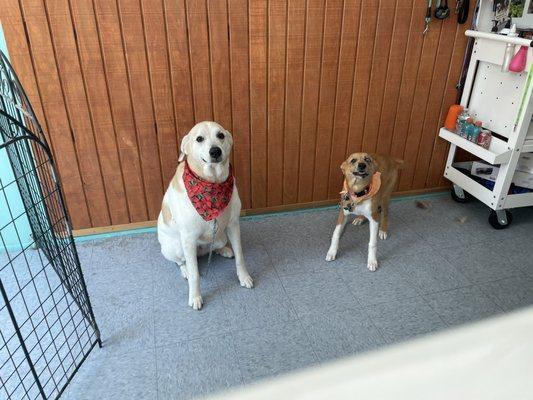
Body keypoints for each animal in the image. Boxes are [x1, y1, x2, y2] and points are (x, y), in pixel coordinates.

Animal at [157, 121, 252, 310]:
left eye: (220, 135)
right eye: (199, 139)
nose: (215, 151)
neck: (212, 184)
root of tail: (200, 252)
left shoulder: (233, 225)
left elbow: (240, 257)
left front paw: (243, 277)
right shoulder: (188, 237)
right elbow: (195, 275)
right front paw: (195, 297)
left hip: (221, 236)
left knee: (213, 248)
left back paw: (223, 250)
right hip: (177, 246)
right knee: (182, 261)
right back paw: (185, 269)